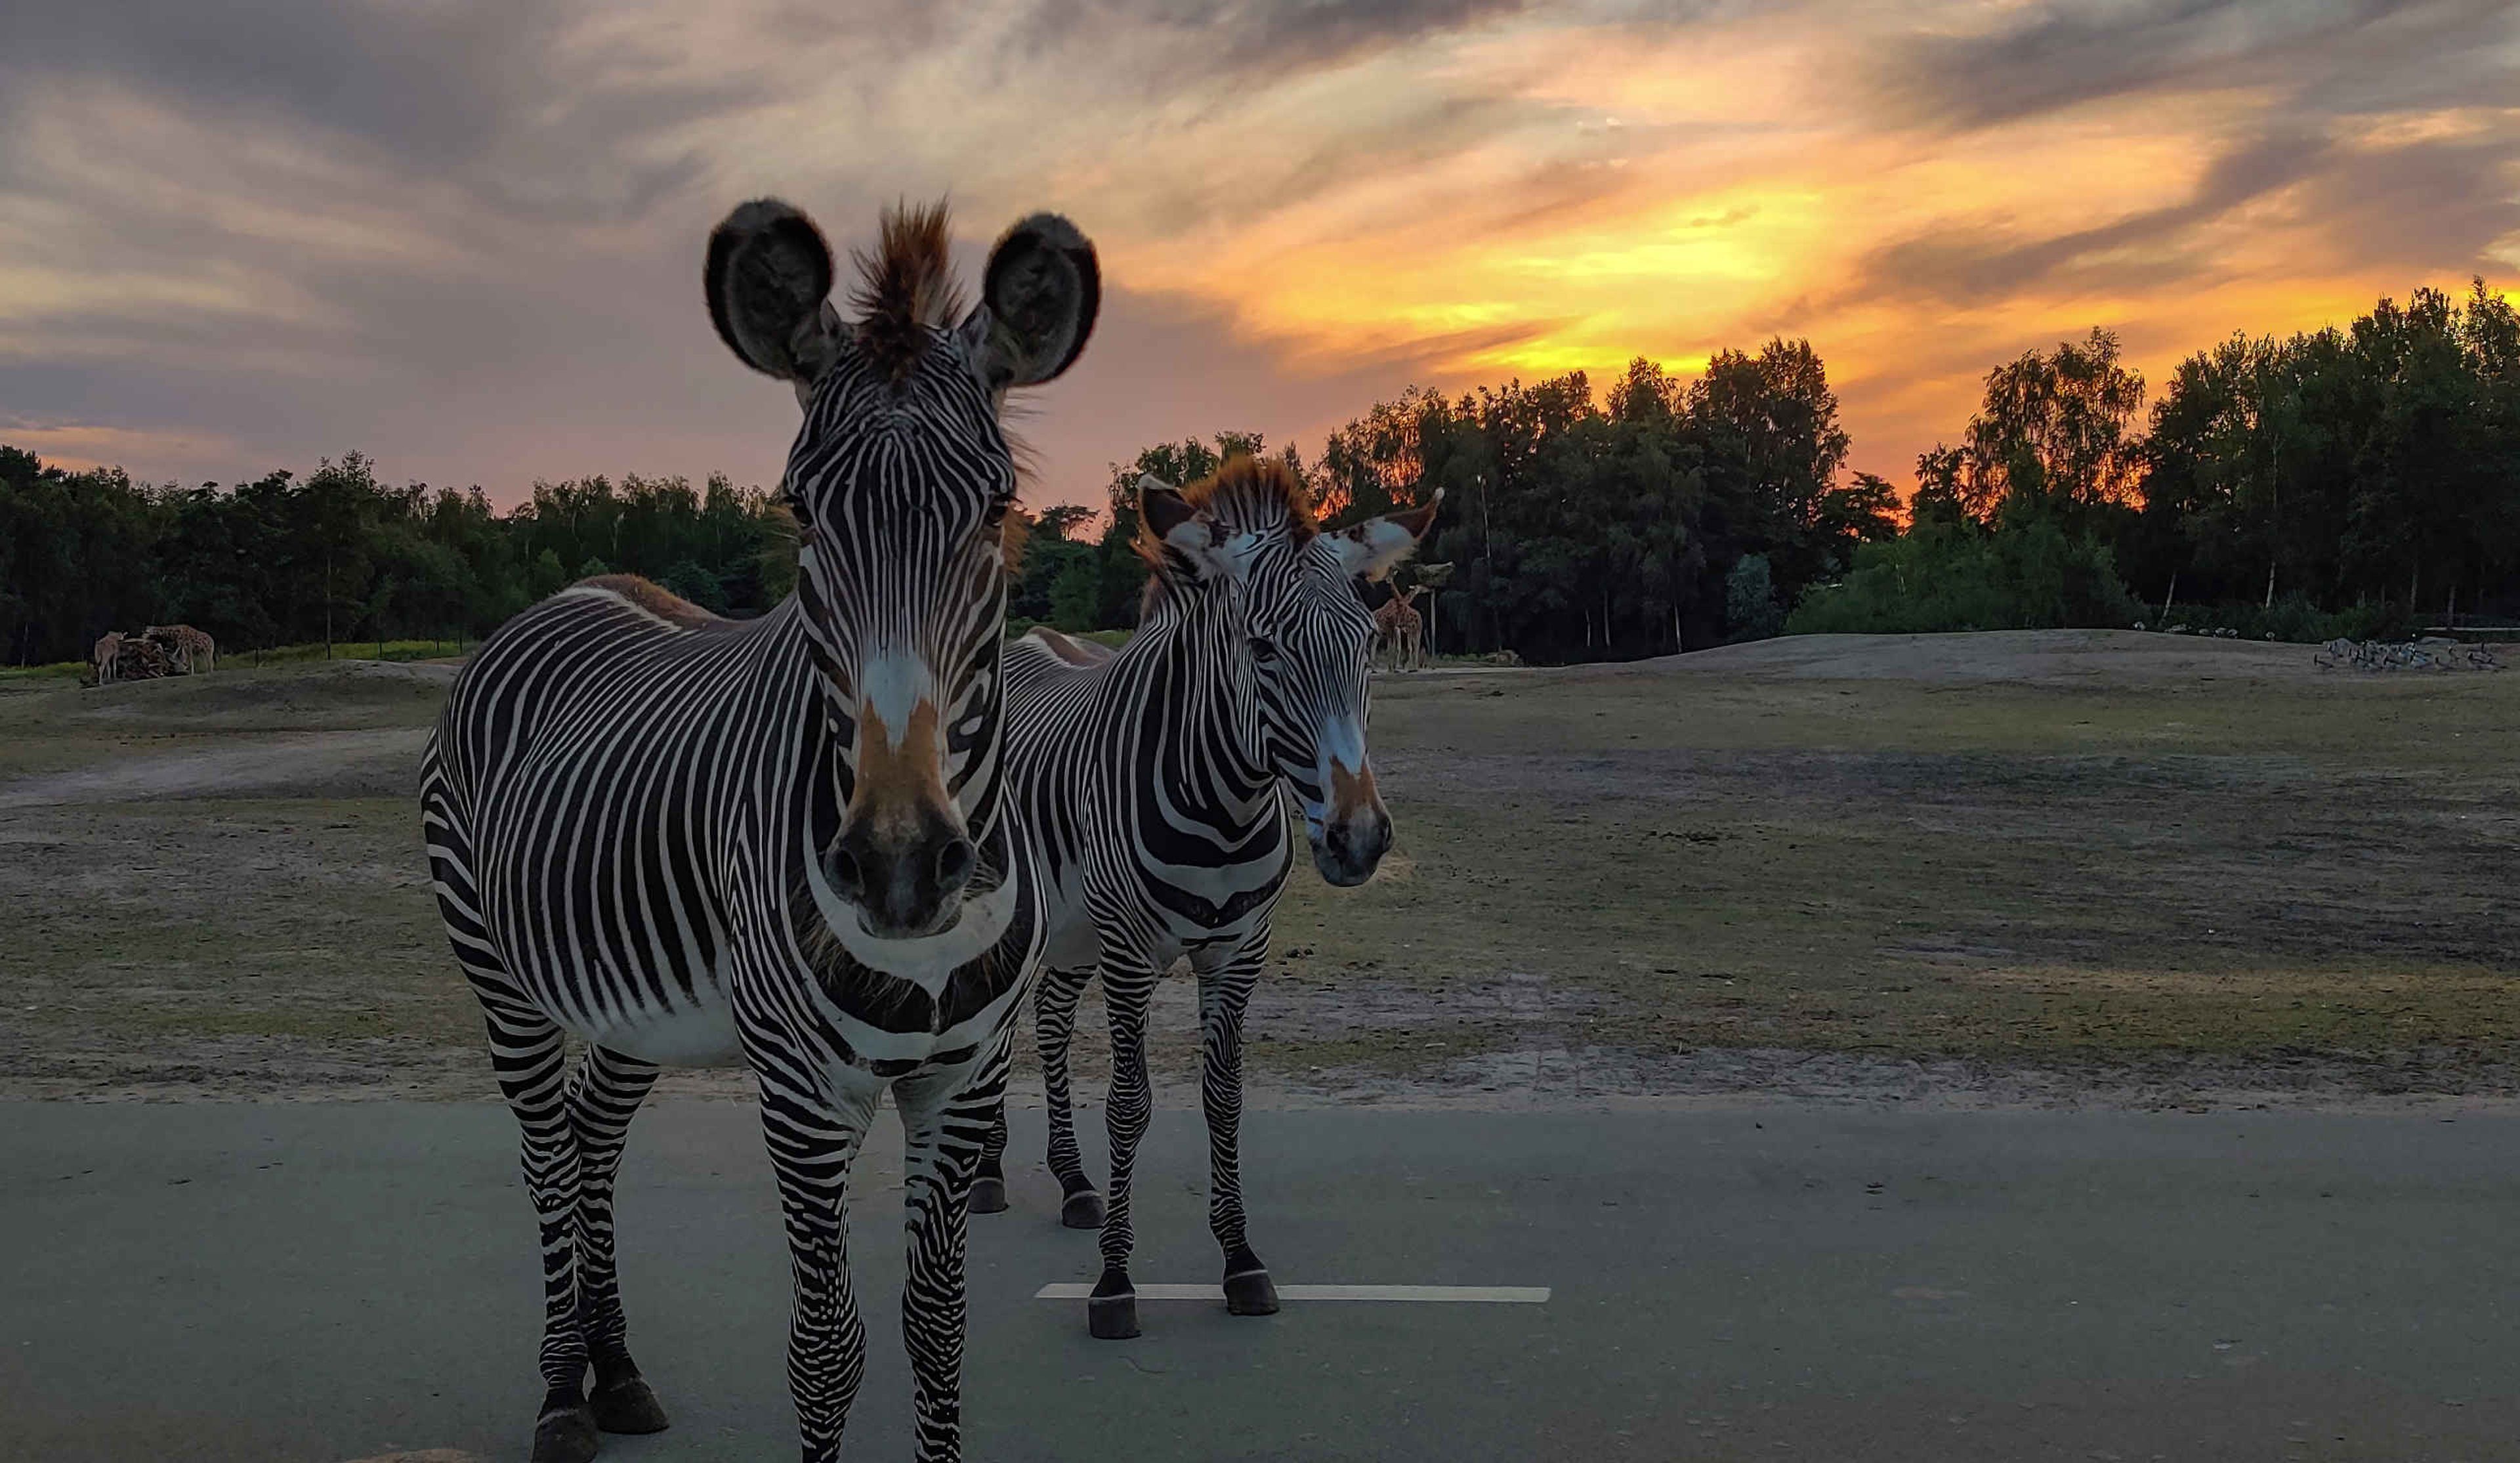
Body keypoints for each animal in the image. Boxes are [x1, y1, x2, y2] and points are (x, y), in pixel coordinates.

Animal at [419, 197, 1097, 1463]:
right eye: (799, 509)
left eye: (997, 508)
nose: (898, 866)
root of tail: (565, 592)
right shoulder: (799, 1089)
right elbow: (826, 1350)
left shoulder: (963, 1078)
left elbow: (938, 1329)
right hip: (504, 977)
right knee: (545, 1155)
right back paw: (560, 1394)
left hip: (631, 1001)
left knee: (591, 1135)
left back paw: (618, 1374)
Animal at [972, 457, 1440, 1340]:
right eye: (1262, 648)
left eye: (1368, 645)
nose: (1359, 839)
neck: (1224, 804)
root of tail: (1025, 643)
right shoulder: (1131, 951)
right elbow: (1130, 1104)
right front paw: (1114, 1283)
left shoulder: (1238, 950)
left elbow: (1225, 1101)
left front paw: (1241, 1262)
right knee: (994, 1025)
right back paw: (983, 1175)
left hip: (1072, 929)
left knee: (1048, 1017)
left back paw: (1072, 1182)